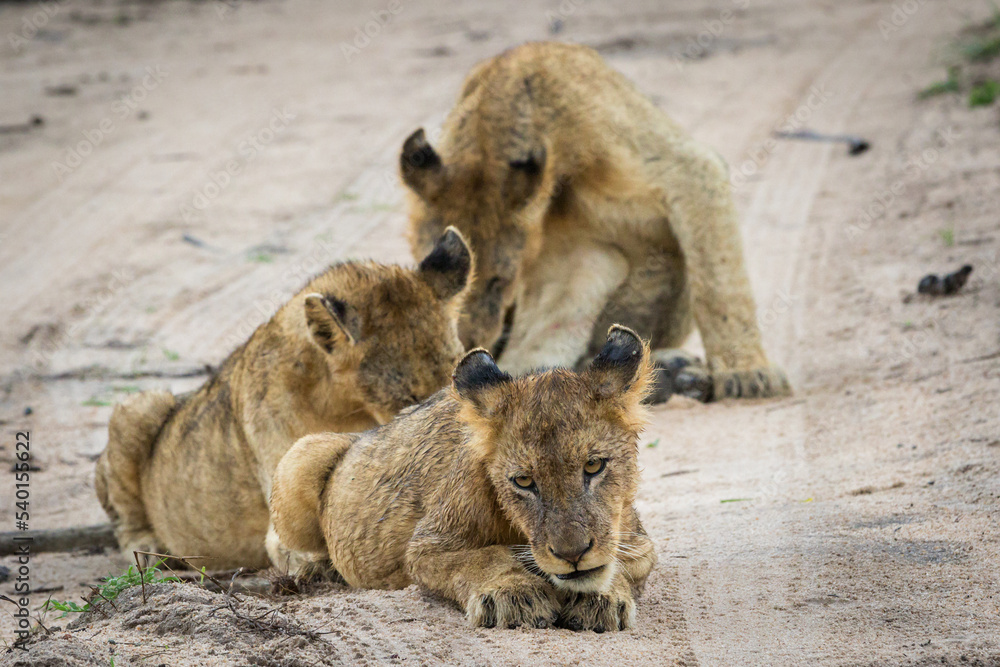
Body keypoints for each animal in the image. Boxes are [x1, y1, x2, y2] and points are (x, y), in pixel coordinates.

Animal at [95, 229, 472, 570]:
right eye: (410, 397)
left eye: (453, 376)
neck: (341, 404)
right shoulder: (282, 518)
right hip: (140, 405)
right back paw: (149, 551)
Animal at [269, 325, 657, 632]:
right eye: (523, 482)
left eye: (593, 466)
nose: (572, 554)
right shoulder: (425, 546)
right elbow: (483, 557)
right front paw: (512, 595)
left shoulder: (639, 542)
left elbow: (622, 563)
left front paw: (601, 601)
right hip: (303, 451)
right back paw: (314, 571)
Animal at [400, 41, 790, 403]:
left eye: (499, 282)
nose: (469, 341)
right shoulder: (568, 251)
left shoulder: (684, 167)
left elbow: (718, 284)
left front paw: (747, 373)